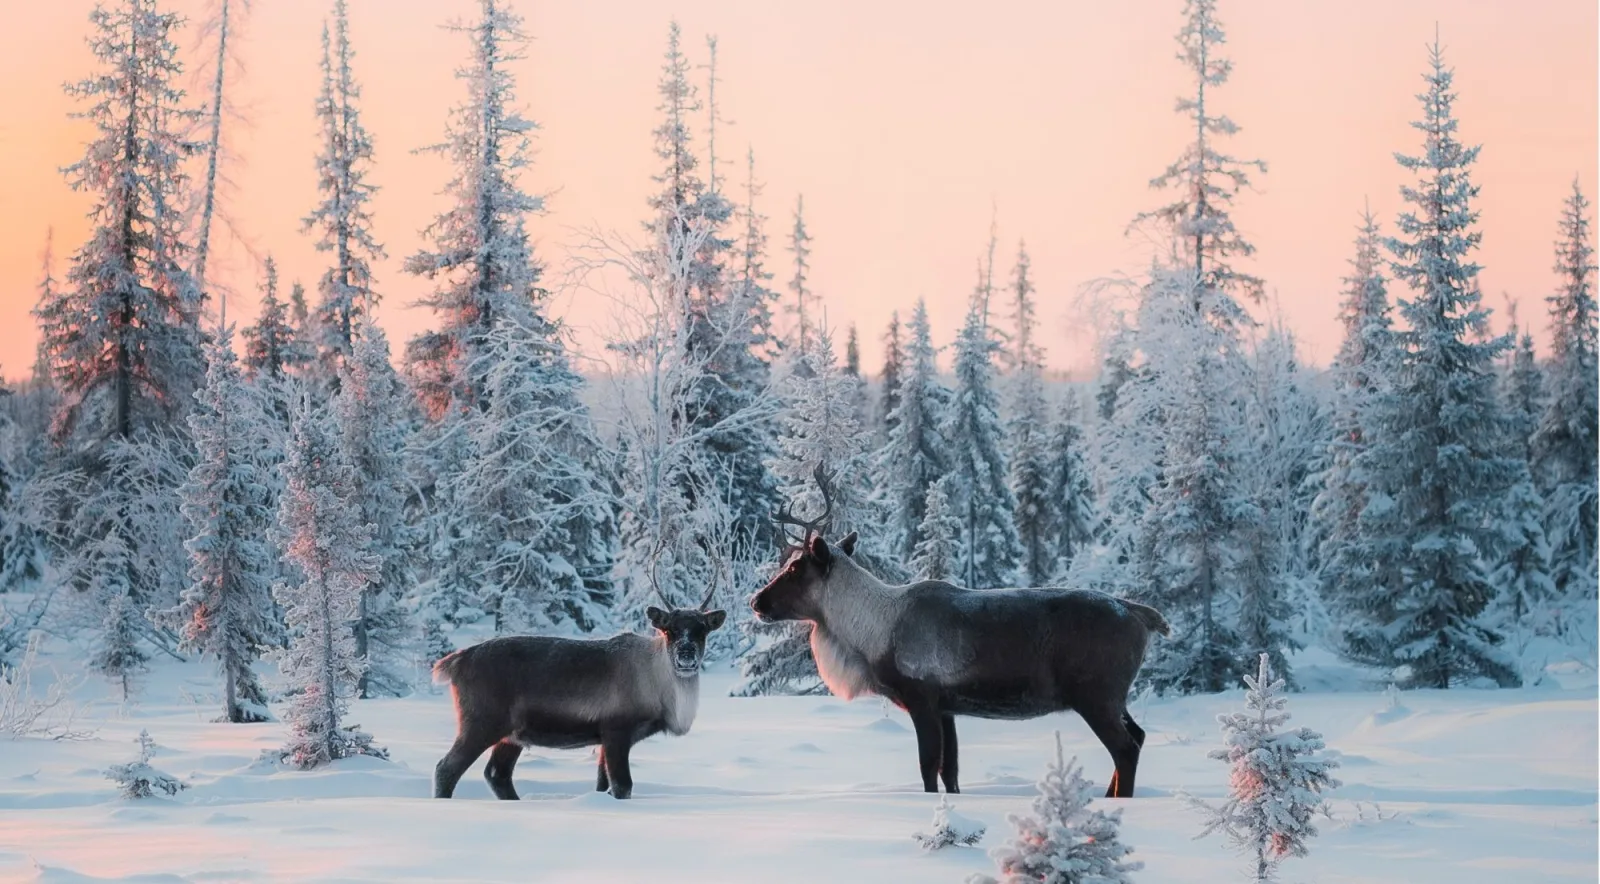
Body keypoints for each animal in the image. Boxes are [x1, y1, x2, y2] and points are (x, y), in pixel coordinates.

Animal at [431, 547, 727, 801]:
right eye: (669, 629)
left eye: (702, 629)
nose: (686, 655)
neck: (660, 689)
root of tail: (456, 661)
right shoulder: (616, 729)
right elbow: (623, 786)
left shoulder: (606, 738)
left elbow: (603, 785)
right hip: (481, 721)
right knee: (446, 768)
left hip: (512, 733)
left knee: (497, 774)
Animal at [749, 465, 1171, 798]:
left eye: (794, 568)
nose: (757, 602)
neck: (869, 636)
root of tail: (1142, 614)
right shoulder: (949, 707)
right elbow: (949, 771)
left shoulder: (921, 697)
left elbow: (927, 768)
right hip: (1114, 696)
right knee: (1139, 736)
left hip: (1095, 694)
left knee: (1125, 748)